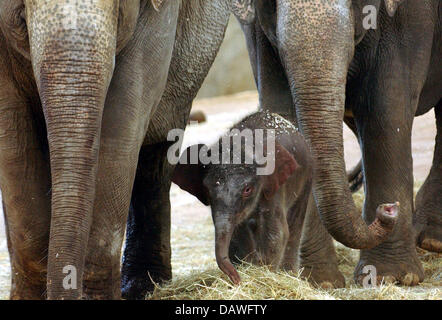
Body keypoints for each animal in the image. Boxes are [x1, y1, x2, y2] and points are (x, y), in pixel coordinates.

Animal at [0, 0, 238, 300]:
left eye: (118, 16)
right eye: (21, 17)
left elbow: (124, 114)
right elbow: (13, 133)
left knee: (154, 161)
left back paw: (143, 285)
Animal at [173, 111, 314, 284]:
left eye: (247, 189)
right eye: (207, 190)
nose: (236, 279)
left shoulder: (273, 190)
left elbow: (276, 233)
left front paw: (263, 271)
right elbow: (237, 234)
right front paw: (248, 267)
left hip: (307, 179)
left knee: (294, 227)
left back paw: (289, 274)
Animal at [235, 0, 442, 284]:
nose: (389, 209)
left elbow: (385, 110)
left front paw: (392, 278)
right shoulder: (257, 32)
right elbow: (282, 112)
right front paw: (318, 281)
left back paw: (431, 241)